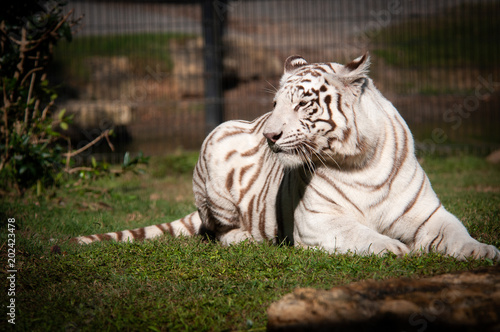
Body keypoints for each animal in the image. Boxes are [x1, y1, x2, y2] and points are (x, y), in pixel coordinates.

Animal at [74, 53, 500, 260]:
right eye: (276, 104)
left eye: (303, 104)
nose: (269, 135)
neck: (361, 162)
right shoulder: (318, 222)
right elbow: (361, 234)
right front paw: (393, 248)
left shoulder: (428, 214)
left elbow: (455, 233)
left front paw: (482, 251)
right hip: (215, 146)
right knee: (217, 232)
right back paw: (244, 238)